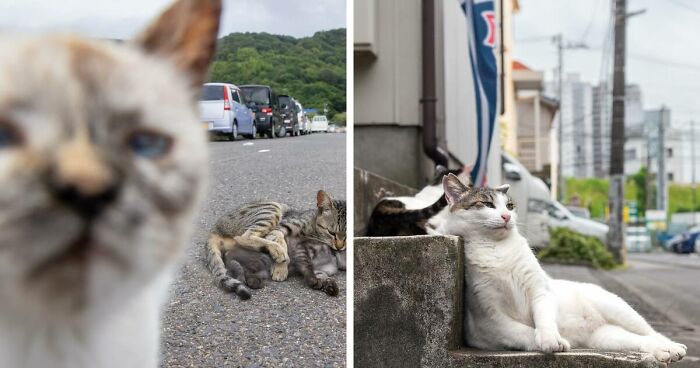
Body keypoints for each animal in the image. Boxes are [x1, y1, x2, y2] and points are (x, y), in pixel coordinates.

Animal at [434, 174, 688, 364]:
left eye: (509, 206)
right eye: (487, 204)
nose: (507, 216)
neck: (497, 250)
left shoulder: (540, 292)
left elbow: (544, 319)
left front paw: (550, 339)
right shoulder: (491, 321)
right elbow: (525, 332)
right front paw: (555, 343)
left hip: (617, 308)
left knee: (651, 332)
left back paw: (672, 346)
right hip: (608, 337)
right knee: (639, 341)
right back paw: (663, 352)